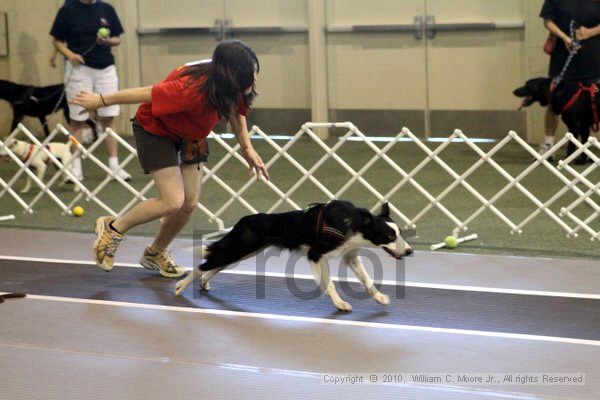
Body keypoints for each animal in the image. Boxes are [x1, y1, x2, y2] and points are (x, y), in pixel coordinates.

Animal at [176, 200, 414, 312]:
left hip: (246, 250)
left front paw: (380, 298)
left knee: (213, 265)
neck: (353, 225)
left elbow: (367, 280)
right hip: (241, 247)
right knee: (203, 265)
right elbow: (329, 283)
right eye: (390, 235)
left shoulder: (350, 255)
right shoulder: (315, 254)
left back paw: (203, 283)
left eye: (400, 233)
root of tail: (243, 220)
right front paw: (340, 304)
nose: (410, 251)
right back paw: (180, 287)